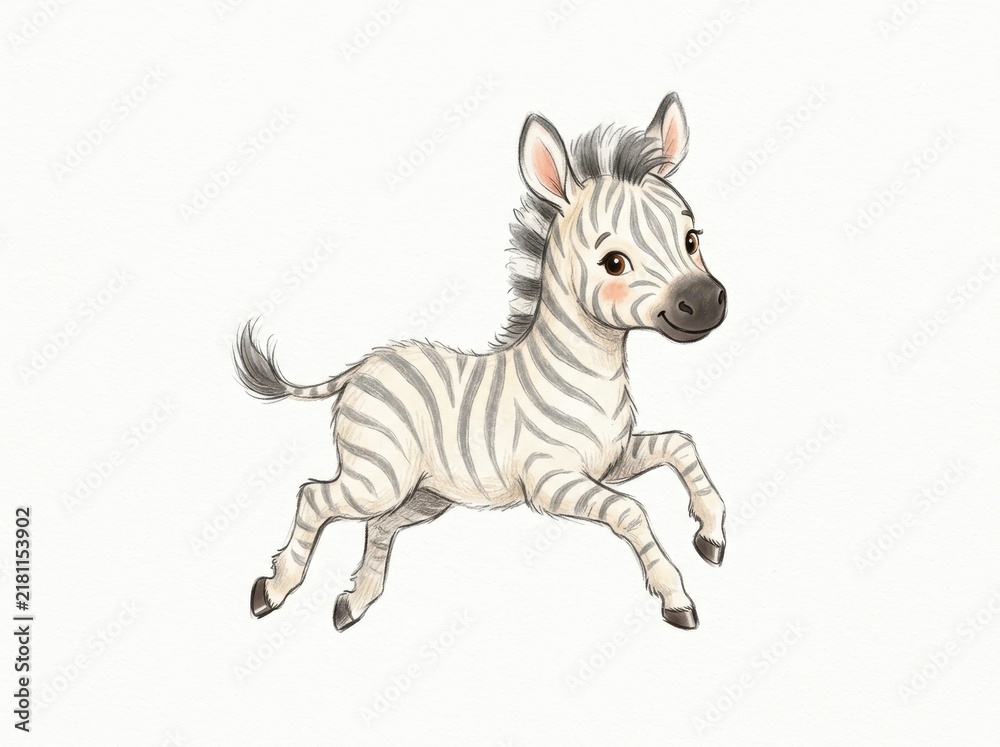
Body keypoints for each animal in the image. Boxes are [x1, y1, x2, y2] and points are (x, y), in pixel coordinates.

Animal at [235, 92, 728, 631]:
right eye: (613, 262)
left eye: (692, 240)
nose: (707, 302)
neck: (590, 374)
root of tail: (362, 366)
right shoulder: (551, 481)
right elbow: (632, 512)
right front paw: (676, 597)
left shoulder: (610, 462)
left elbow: (679, 445)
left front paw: (711, 533)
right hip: (379, 477)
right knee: (314, 497)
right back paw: (272, 591)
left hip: (426, 494)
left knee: (379, 526)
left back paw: (354, 602)